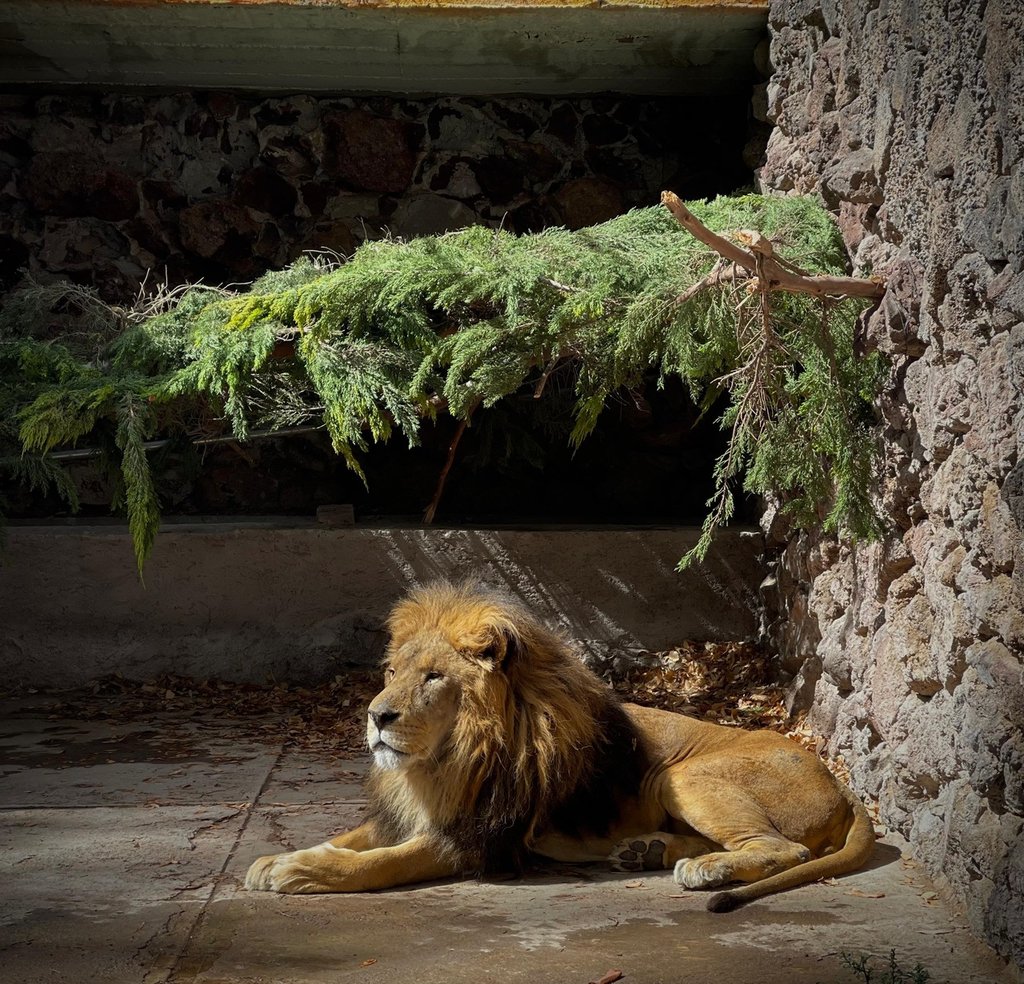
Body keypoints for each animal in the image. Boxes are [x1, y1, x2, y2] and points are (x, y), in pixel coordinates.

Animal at [245, 582, 874, 910]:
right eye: (392, 672)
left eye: (434, 678)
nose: (376, 717)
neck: (447, 762)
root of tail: (843, 785)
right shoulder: (415, 814)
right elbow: (352, 839)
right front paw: (278, 858)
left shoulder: (482, 837)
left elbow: (379, 862)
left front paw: (300, 871)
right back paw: (650, 851)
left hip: (684, 774)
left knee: (785, 850)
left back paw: (707, 869)